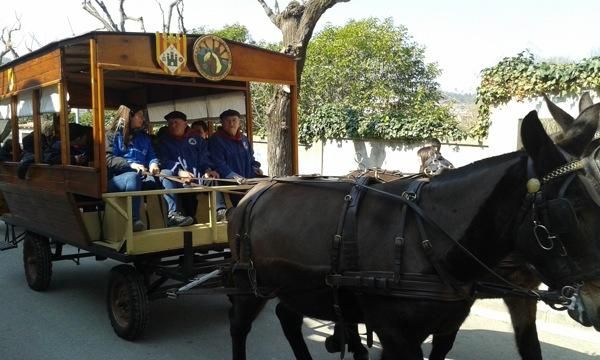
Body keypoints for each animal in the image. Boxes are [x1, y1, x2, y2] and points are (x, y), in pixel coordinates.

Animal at [227, 102, 600, 358]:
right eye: (569, 211)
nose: (597, 302)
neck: (429, 240)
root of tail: (253, 192)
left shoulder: (449, 326)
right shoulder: (397, 337)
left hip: (297, 286)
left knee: (287, 317)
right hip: (248, 285)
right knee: (239, 328)